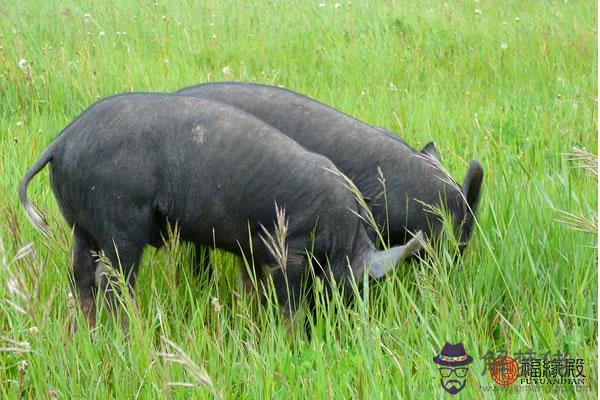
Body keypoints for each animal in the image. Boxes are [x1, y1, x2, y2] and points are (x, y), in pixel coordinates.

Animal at [18, 94, 422, 328]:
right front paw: (291, 335)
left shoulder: (254, 248)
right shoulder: (290, 252)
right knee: (113, 281)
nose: (351, 325)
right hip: (120, 222)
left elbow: (252, 286)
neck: (343, 238)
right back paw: (130, 330)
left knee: (81, 278)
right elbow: (288, 303)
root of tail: (62, 140)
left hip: (81, 226)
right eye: (360, 288)